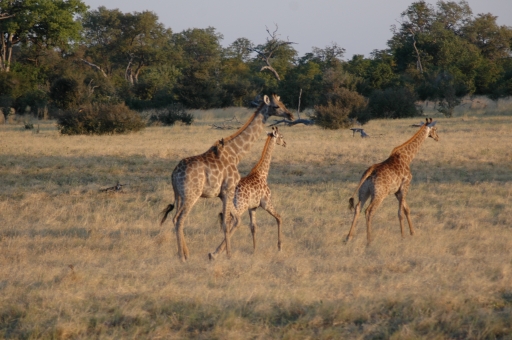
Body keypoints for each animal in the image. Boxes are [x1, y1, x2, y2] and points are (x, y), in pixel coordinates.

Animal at [209, 126, 288, 258]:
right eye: (281, 136)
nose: (285, 143)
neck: (262, 173)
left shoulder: (253, 207)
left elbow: (253, 227)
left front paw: (254, 250)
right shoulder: (266, 203)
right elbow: (279, 218)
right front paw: (280, 247)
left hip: (233, 204)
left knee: (227, 220)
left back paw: (217, 252)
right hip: (241, 205)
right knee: (232, 221)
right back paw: (216, 253)